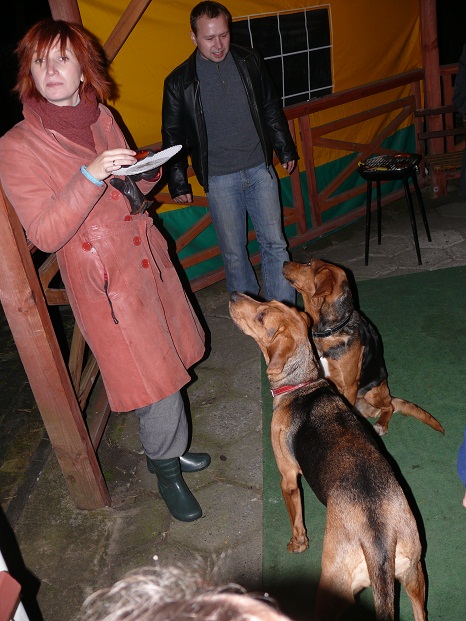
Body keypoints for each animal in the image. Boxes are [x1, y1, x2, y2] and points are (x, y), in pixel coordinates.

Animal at [228, 294, 426, 620]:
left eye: (261, 315)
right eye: (269, 302)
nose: (233, 296)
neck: (302, 383)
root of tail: (379, 543)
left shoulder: (288, 478)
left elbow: (296, 521)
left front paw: (297, 544)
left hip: (332, 587)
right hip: (415, 576)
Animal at [282, 260, 442, 434]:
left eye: (309, 264)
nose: (284, 262)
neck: (328, 331)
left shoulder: (349, 386)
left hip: (373, 392)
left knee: (390, 406)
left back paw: (381, 425)